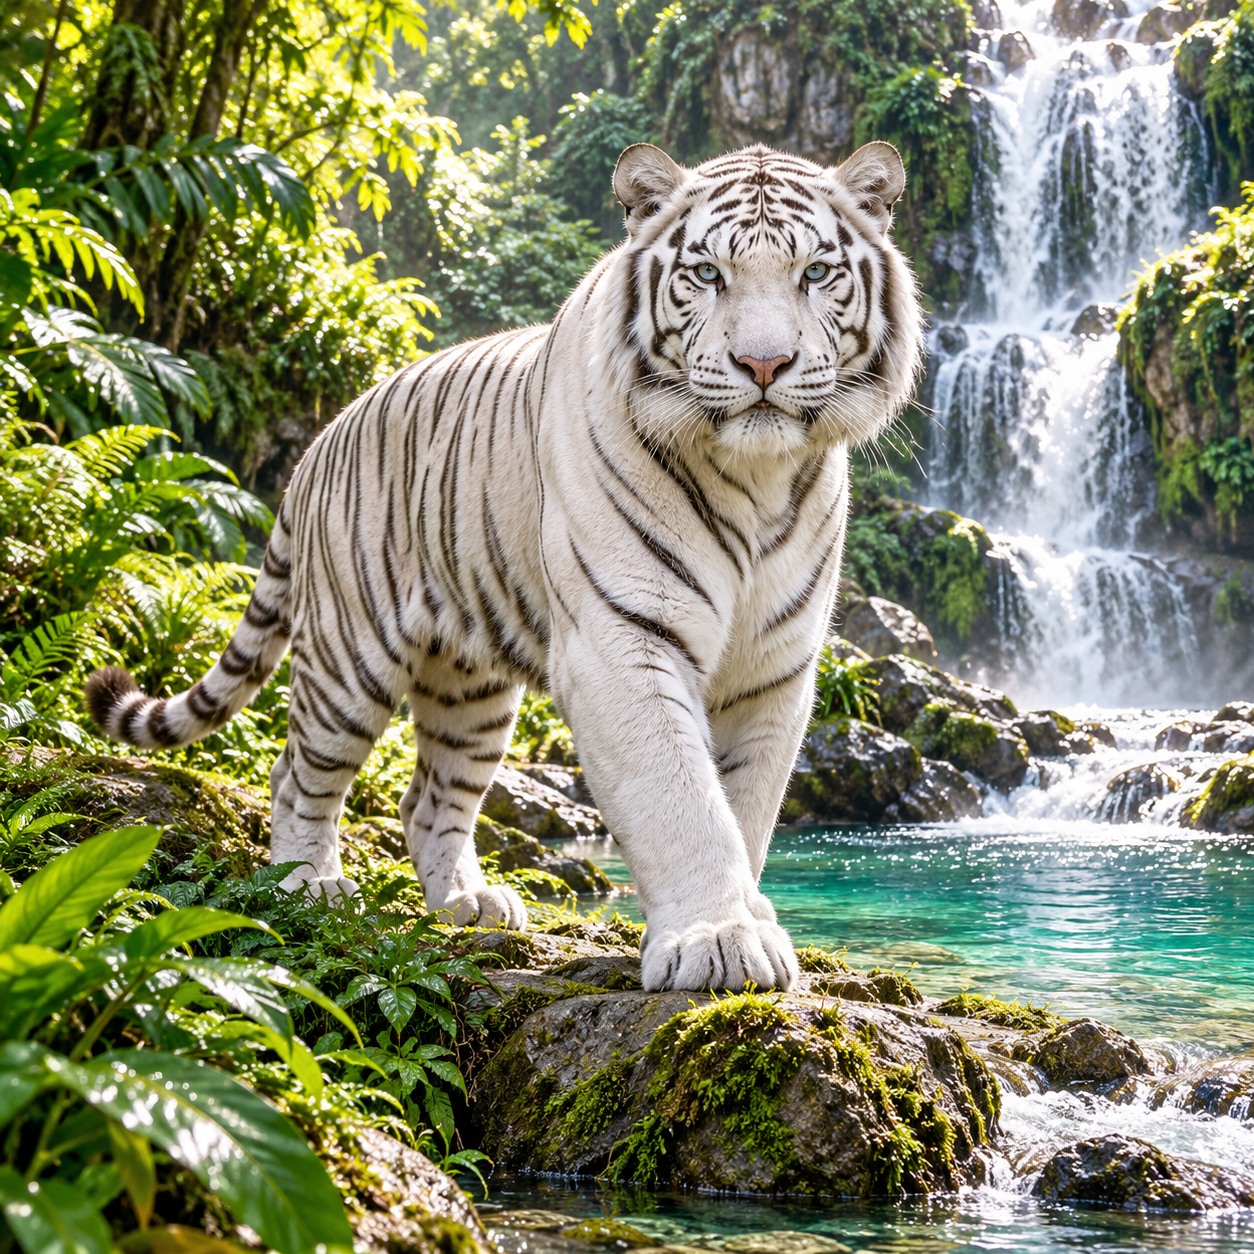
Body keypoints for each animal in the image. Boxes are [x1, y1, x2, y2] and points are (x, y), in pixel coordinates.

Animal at [86, 140, 924, 993]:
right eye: (706, 273)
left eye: (815, 273)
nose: (763, 363)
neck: (755, 475)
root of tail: (321, 441)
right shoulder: (624, 639)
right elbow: (682, 800)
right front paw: (716, 940)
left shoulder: (771, 668)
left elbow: (743, 809)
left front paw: (745, 920)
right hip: (349, 660)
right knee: (296, 774)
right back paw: (306, 886)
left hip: (472, 689)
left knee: (427, 800)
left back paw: (468, 903)